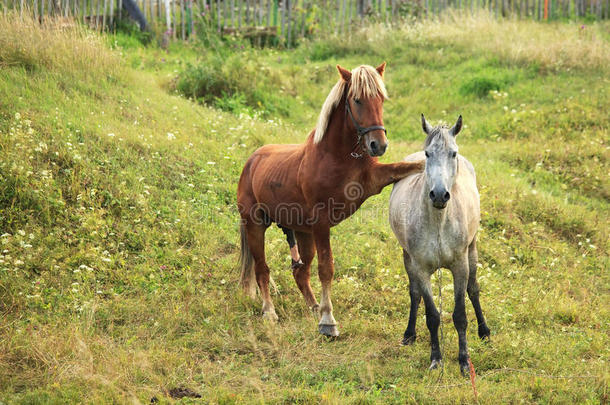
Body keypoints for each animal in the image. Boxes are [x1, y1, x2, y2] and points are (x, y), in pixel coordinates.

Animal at [235, 62, 420, 334]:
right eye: (357, 100)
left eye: (381, 99)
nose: (378, 145)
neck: (336, 155)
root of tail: (251, 162)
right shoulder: (322, 223)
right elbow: (326, 269)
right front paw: (328, 321)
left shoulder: (374, 180)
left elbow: (405, 167)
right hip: (256, 225)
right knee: (262, 269)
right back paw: (270, 311)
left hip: (302, 232)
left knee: (300, 272)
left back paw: (313, 307)